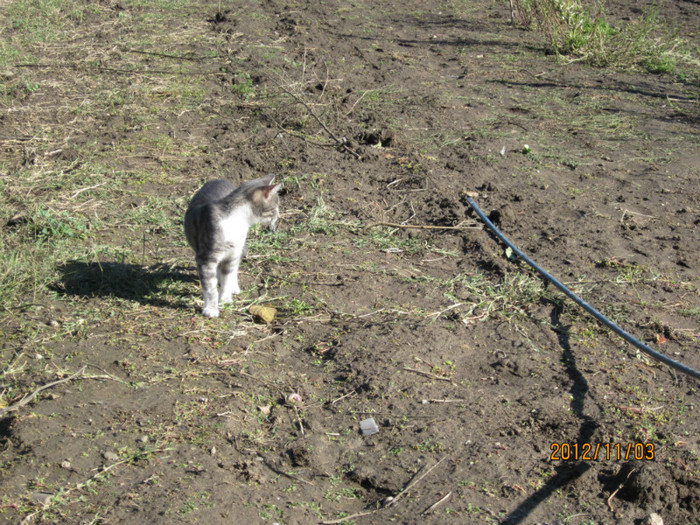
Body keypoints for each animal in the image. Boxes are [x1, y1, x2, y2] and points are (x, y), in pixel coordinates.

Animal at [185, 174, 280, 318]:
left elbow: (227, 277)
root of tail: (218, 179)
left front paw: (225, 299)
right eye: (274, 209)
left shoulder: (232, 254)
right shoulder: (206, 257)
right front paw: (211, 309)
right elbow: (210, 286)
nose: (278, 217)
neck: (237, 220)